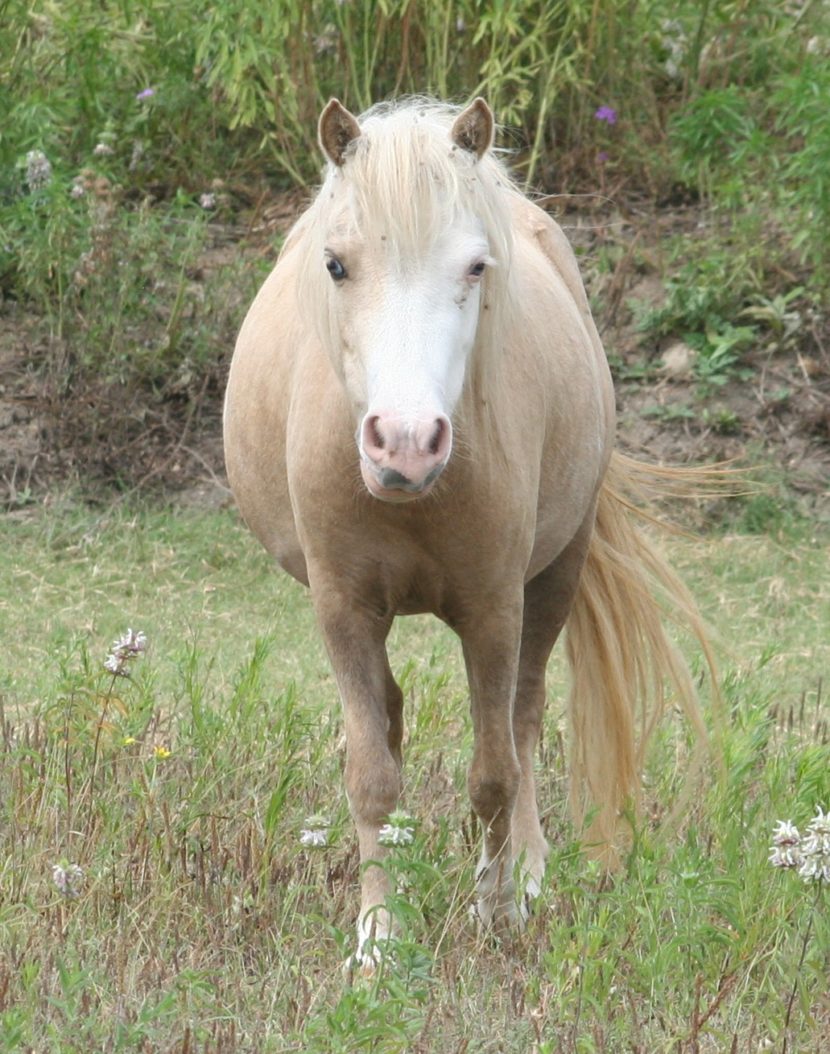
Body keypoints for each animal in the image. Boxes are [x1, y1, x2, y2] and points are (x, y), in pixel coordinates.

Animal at [224, 97, 712, 967]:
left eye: (476, 268)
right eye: (336, 265)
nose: (406, 443)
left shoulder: (494, 611)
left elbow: (495, 769)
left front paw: (497, 906)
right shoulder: (342, 611)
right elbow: (372, 774)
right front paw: (378, 936)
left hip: (556, 575)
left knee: (524, 720)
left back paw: (529, 871)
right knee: (390, 717)